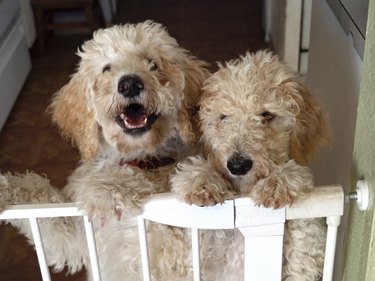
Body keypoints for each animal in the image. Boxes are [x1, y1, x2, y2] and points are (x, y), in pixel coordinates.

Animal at [173, 50, 328, 280]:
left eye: (267, 115)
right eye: (224, 117)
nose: (238, 165)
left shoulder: (308, 247)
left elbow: (304, 243)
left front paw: (279, 182)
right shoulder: (203, 256)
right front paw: (201, 180)